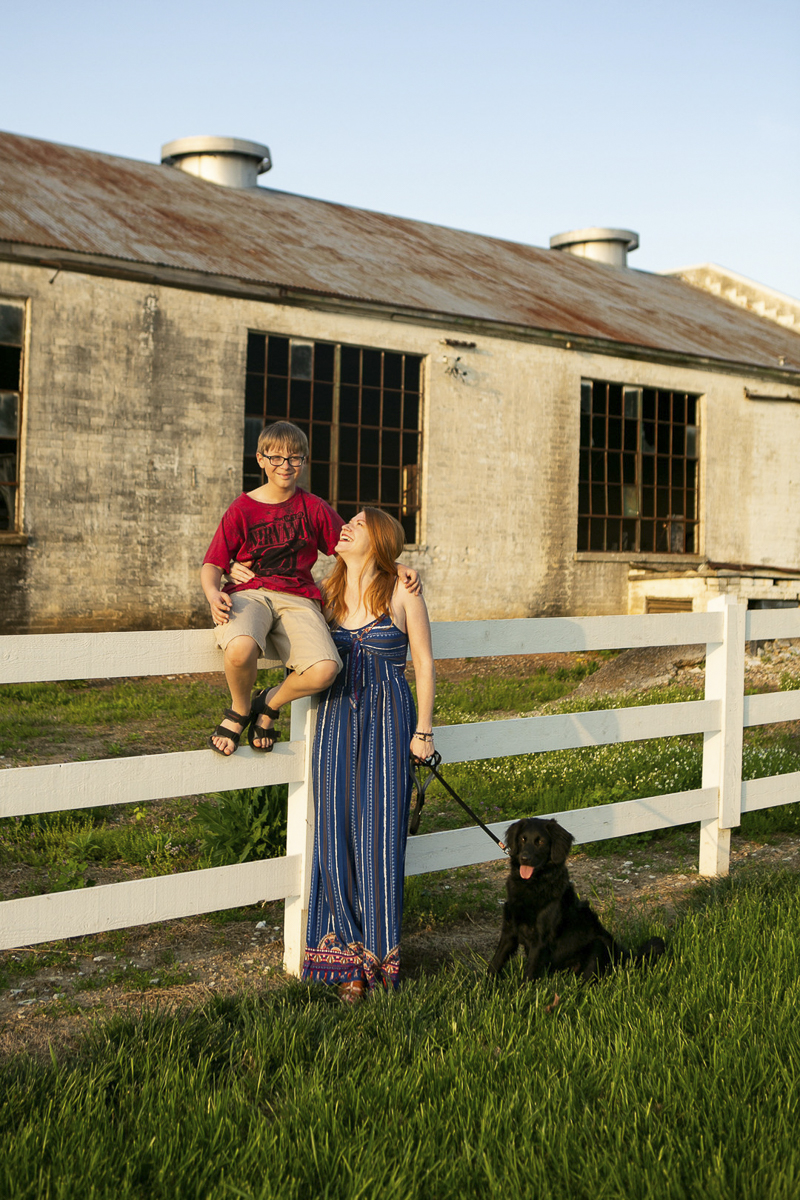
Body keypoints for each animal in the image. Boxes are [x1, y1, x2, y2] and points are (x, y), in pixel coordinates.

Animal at [484, 820, 666, 979]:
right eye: (523, 839)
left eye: (540, 841)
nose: (524, 858)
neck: (533, 885)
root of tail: (624, 955)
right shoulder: (509, 932)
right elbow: (494, 964)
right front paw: (485, 988)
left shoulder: (540, 940)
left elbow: (528, 974)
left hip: (599, 945)